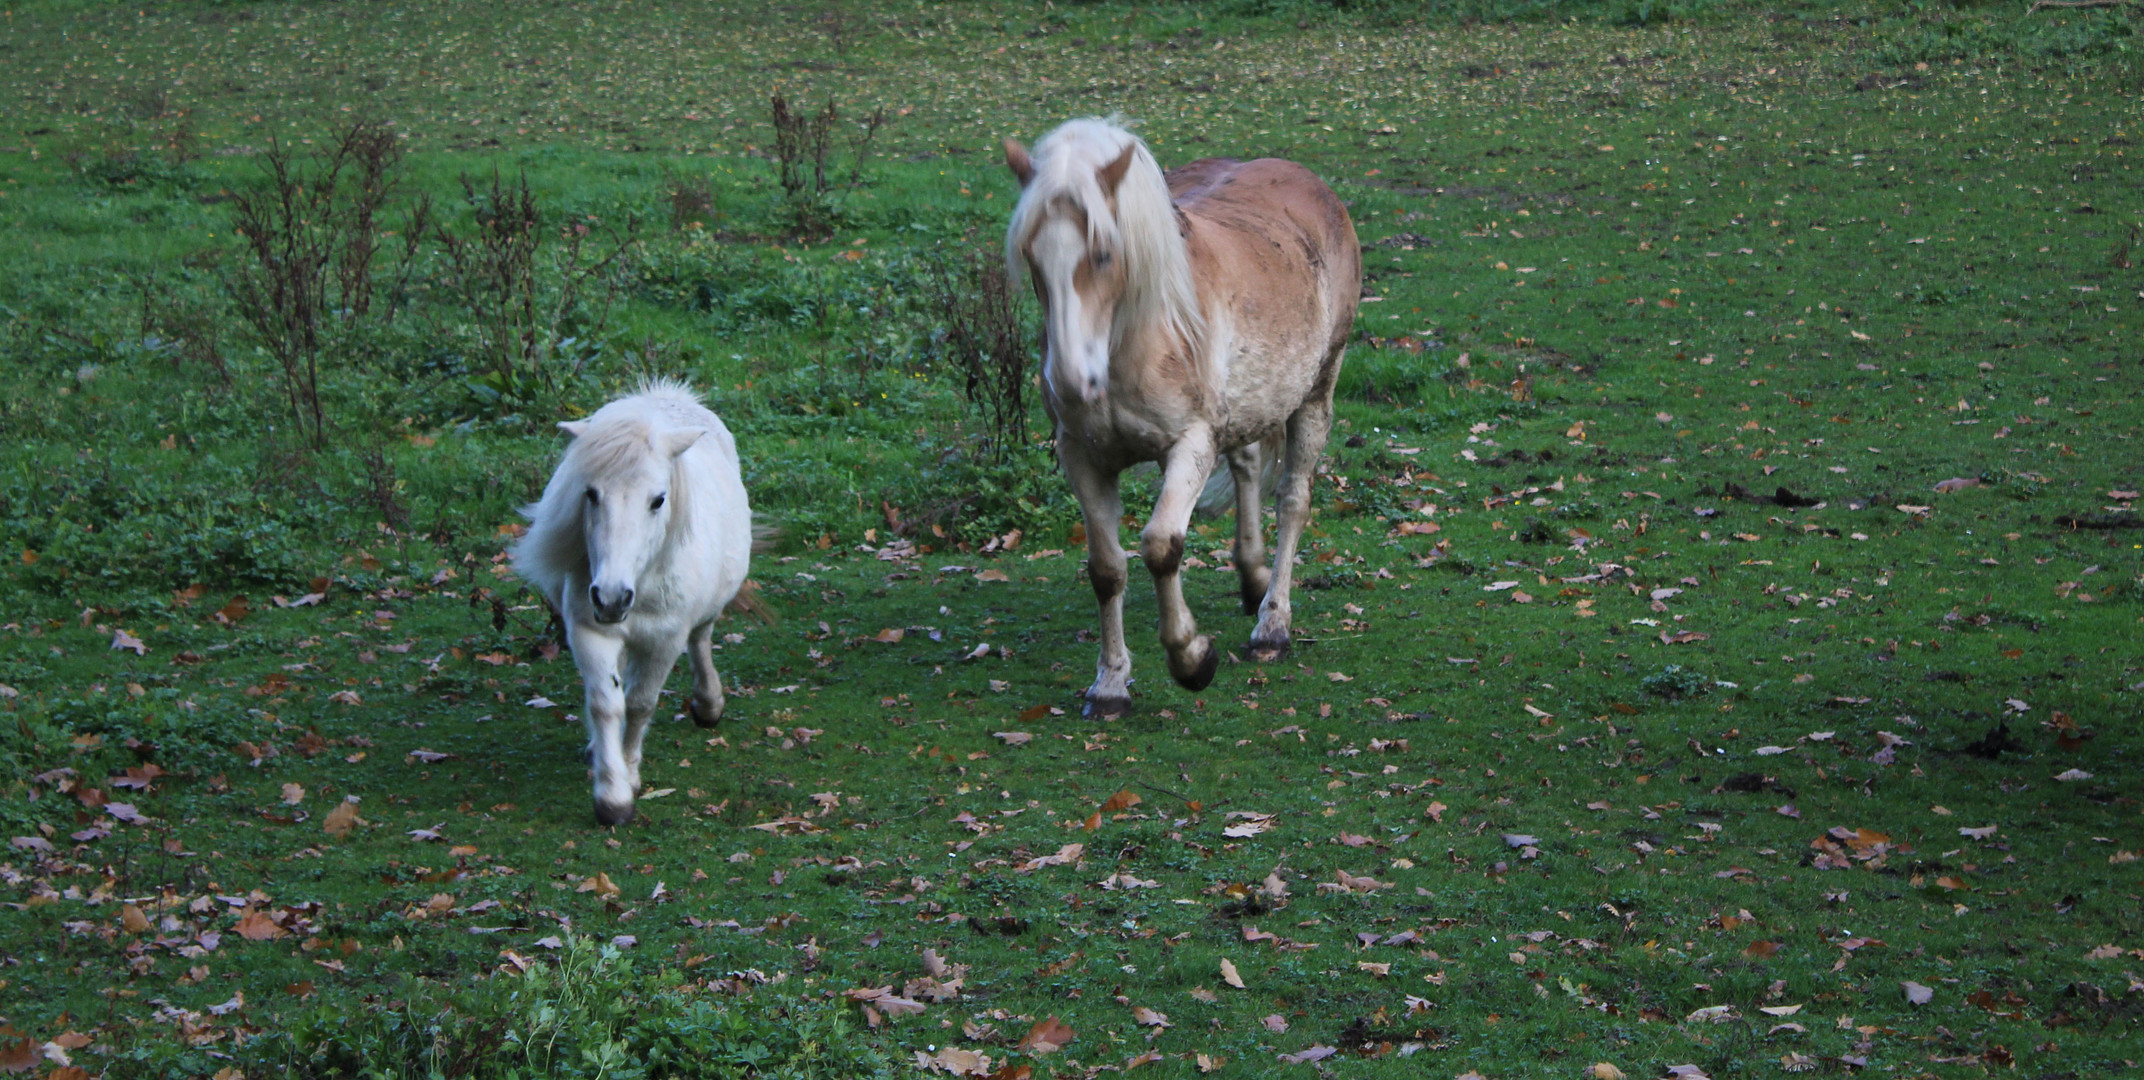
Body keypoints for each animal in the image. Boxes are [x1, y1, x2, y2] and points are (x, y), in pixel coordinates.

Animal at [516, 381, 754, 827]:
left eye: (658, 500)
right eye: (590, 493)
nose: (611, 596)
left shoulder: (664, 640)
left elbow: (640, 703)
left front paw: (629, 771)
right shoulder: (590, 632)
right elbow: (607, 704)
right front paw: (612, 795)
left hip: (704, 613)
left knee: (701, 640)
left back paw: (707, 704)